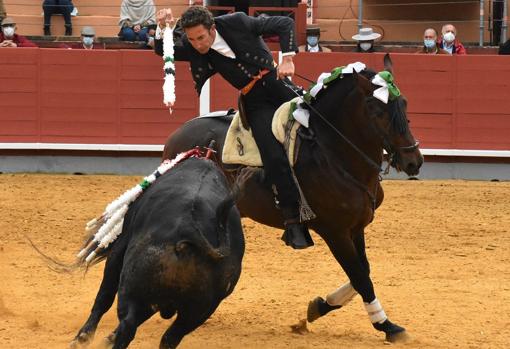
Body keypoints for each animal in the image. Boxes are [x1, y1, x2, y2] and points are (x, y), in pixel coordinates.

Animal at [71, 158, 245, 348]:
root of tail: (190, 231)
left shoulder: (120, 247)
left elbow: (104, 295)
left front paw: (83, 337)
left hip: (133, 287)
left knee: (127, 325)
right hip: (200, 310)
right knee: (170, 337)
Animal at [162, 54, 422, 340]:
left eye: (405, 104)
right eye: (378, 112)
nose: (413, 161)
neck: (331, 150)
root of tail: (176, 137)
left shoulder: (356, 227)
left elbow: (362, 271)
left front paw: (318, 307)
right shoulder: (335, 232)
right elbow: (360, 277)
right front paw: (387, 325)